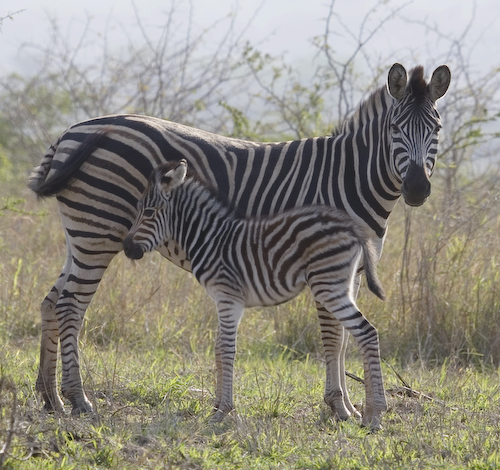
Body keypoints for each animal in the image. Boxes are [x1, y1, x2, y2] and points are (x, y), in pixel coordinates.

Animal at [122, 161, 386, 430]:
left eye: (149, 212)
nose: (126, 247)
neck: (209, 238)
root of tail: (350, 226)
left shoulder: (228, 298)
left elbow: (227, 350)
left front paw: (222, 412)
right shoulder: (222, 300)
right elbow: (219, 349)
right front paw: (217, 407)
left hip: (328, 284)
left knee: (366, 332)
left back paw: (375, 415)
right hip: (342, 284)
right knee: (362, 334)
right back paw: (368, 414)